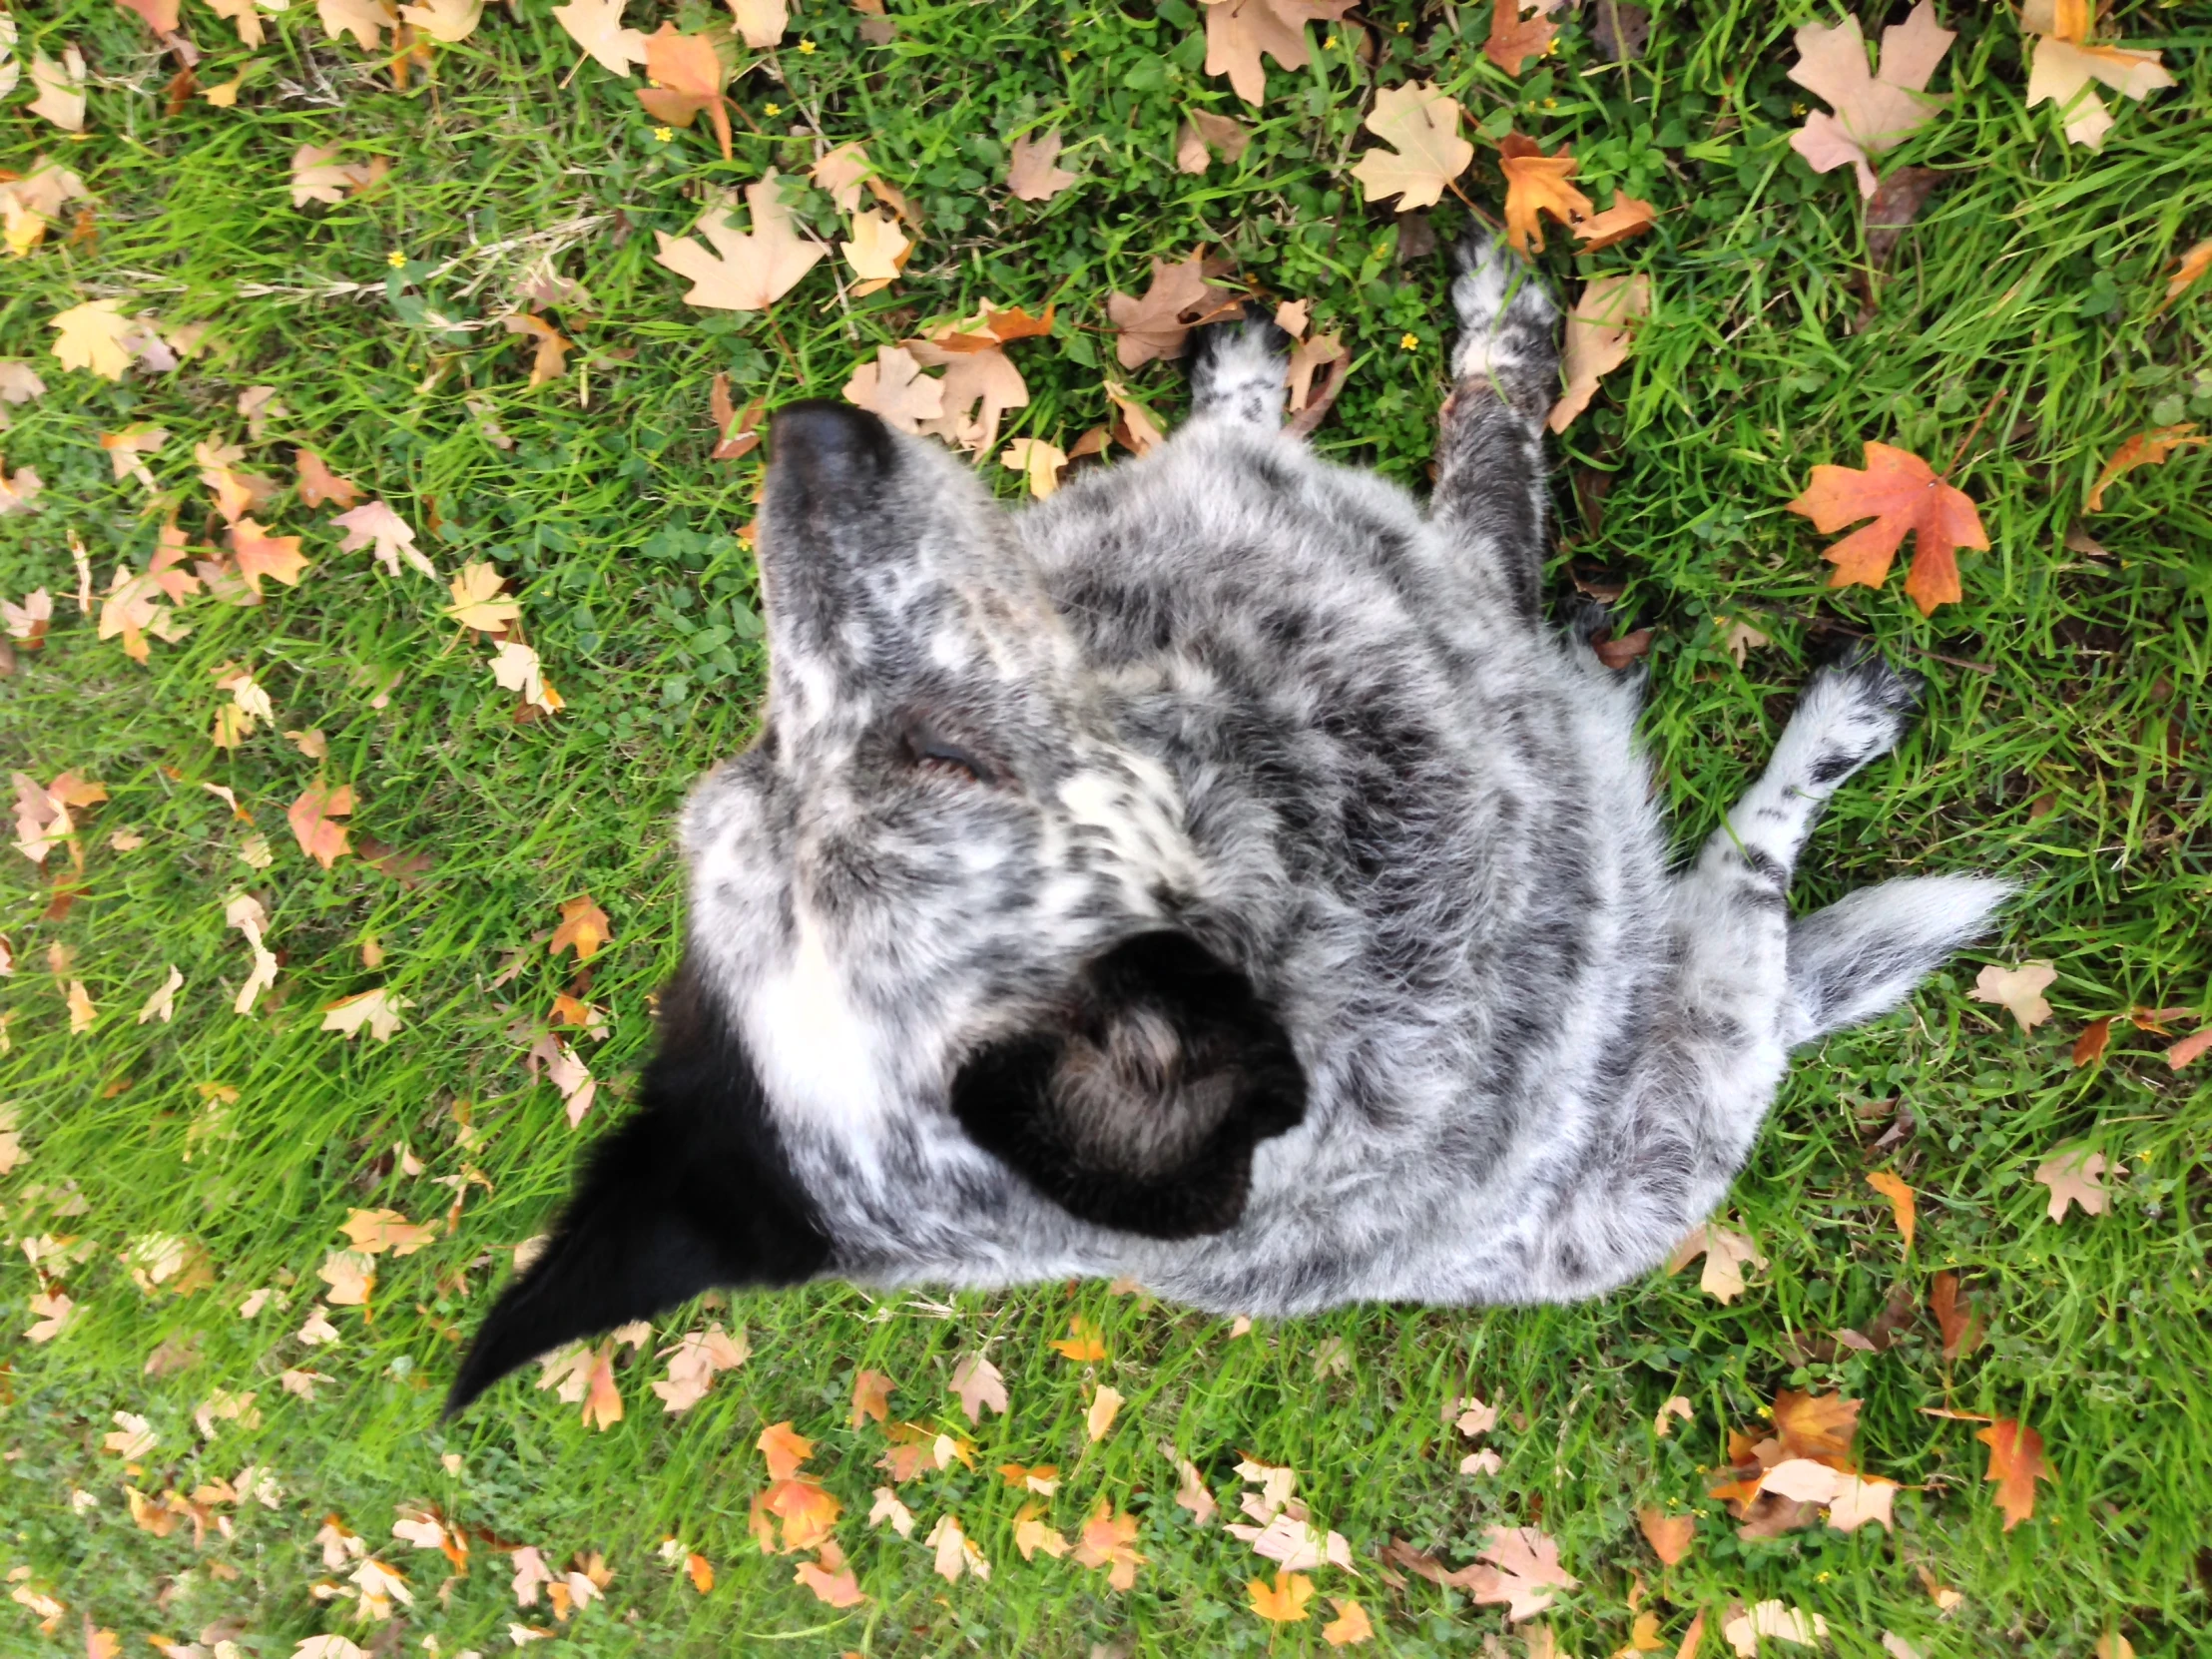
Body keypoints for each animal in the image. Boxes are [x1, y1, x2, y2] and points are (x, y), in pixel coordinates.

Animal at [444, 234, 2008, 1424]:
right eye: (947, 758)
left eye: (753, 762)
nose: (807, 434)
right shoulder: (1467, 596)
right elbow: (1492, 442)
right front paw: (1498, 336)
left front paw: (1246, 387)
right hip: (1714, 1052)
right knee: (1755, 878)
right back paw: (1834, 734)